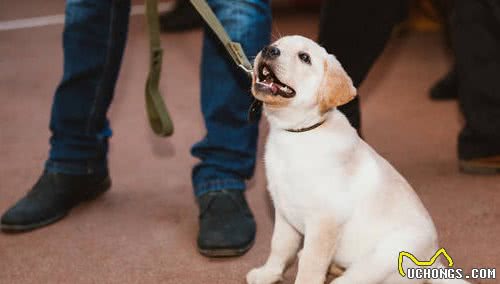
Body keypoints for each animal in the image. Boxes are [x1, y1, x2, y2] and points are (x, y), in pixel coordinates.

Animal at [246, 36, 468, 284]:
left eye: (304, 57)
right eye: (277, 43)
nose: (269, 50)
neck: (298, 133)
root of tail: (433, 265)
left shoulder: (324, 221)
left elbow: (310, 265)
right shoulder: (284, 212)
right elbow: (279, 247)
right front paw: (268, 273)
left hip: (384, 256)